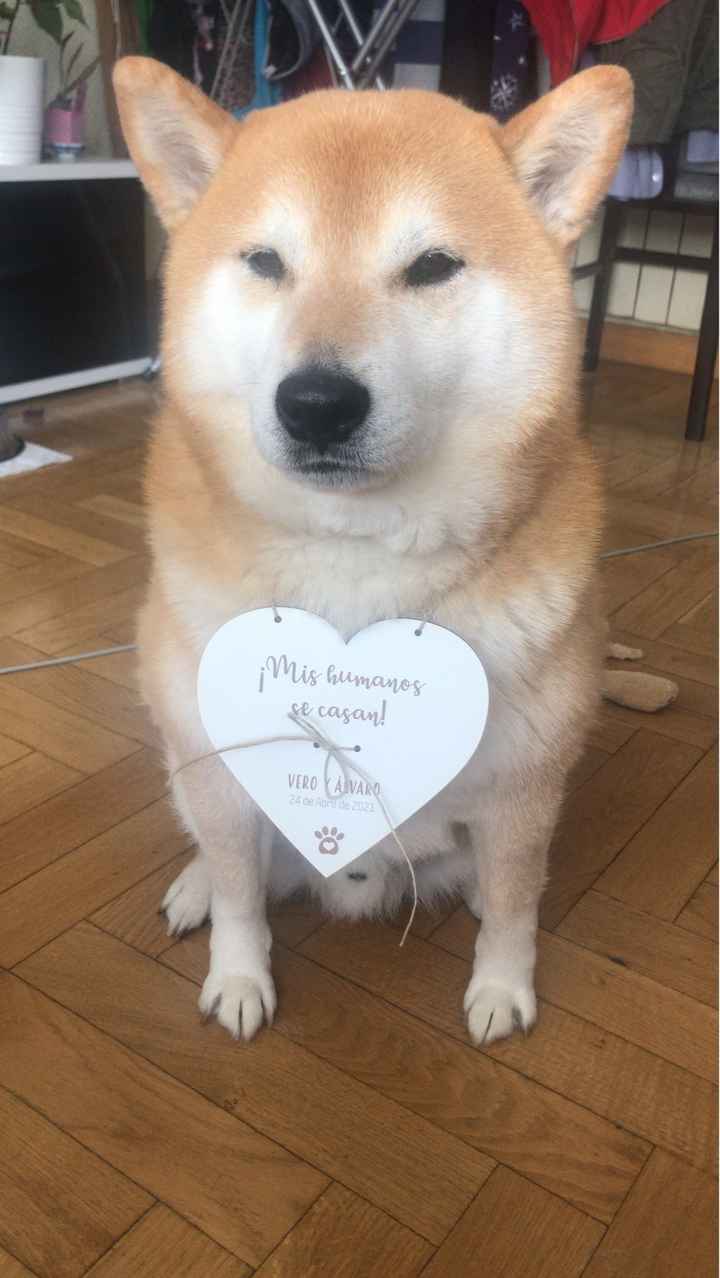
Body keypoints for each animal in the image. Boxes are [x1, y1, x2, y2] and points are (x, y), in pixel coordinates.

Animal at [112, 54, 631, 1042]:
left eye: (431, 267)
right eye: (266, 261)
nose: (317, 403)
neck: (354, 566)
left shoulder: (525, 786)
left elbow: (516, 901)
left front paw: (502, 987)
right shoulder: (222, 766)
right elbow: (238, 888)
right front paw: (238, 973)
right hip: (186, 756)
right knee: (220, 850)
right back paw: (193, 887)